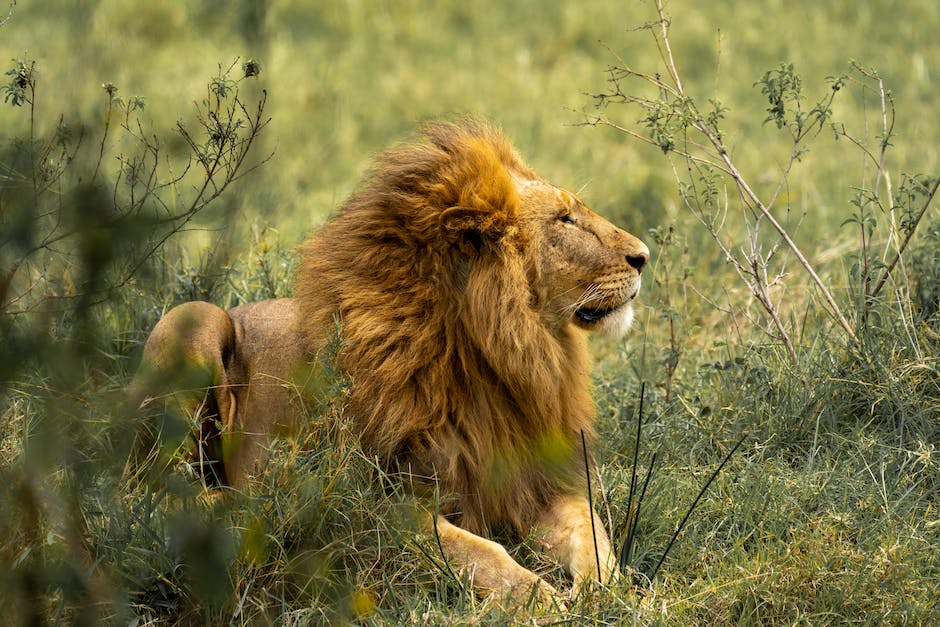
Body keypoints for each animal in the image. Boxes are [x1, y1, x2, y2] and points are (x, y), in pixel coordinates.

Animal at [130, 121, 648, 608]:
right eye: (565, 220)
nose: (644, 256)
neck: (500, 357)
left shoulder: (537, 481)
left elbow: (592, 534)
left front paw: (605, 591)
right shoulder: (372, 503)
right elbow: (478, 551)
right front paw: (538, 596)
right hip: (193, 320)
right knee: (151, 489)